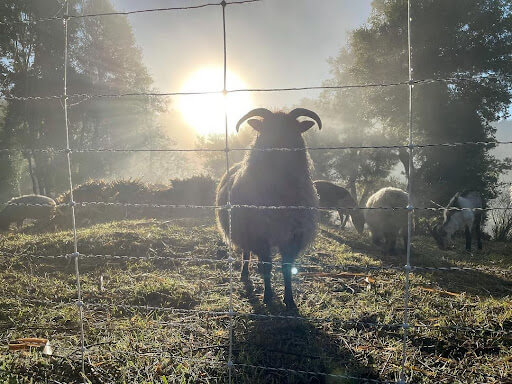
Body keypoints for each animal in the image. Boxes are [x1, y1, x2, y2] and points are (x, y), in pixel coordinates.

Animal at [215, 108, 320, 308]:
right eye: (265, 129)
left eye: (294, 129)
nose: (278, 147)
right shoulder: (259, 235)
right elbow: (267, 265)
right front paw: (268, 296)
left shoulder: (292, 237)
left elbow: (286, 268)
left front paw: (290, 300)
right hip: (246, 233)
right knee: (247, 255)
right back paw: (244, 274)